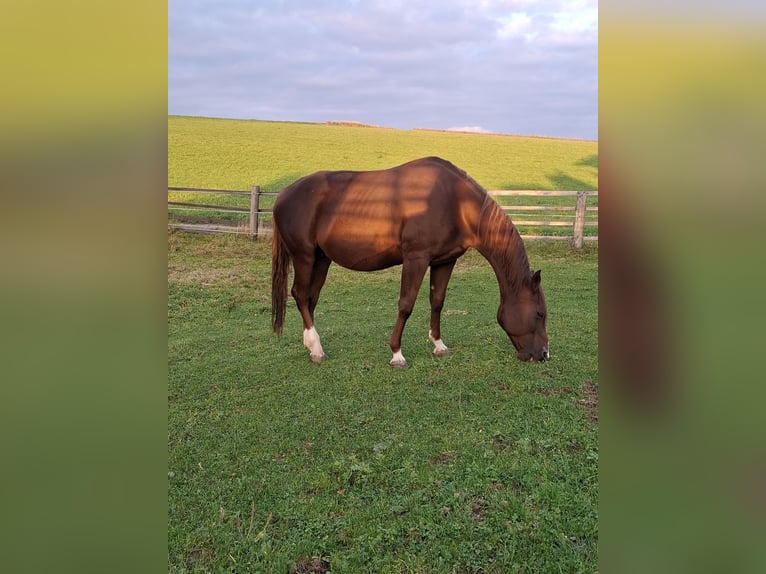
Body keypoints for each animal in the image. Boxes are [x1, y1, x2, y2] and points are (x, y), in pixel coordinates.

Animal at [271, 156, 549, 367]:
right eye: (539, 313)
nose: (543, 354)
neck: (455, 202)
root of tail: (283, 194)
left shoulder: (445, 261)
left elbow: (437, 301)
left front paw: (439, 345)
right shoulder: (416, 258)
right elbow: (406, 304)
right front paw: (397, 354)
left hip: (322, 259)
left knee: (310, 298)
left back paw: (311, 345)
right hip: (304, 256)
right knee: (300, 294)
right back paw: (317, 350)